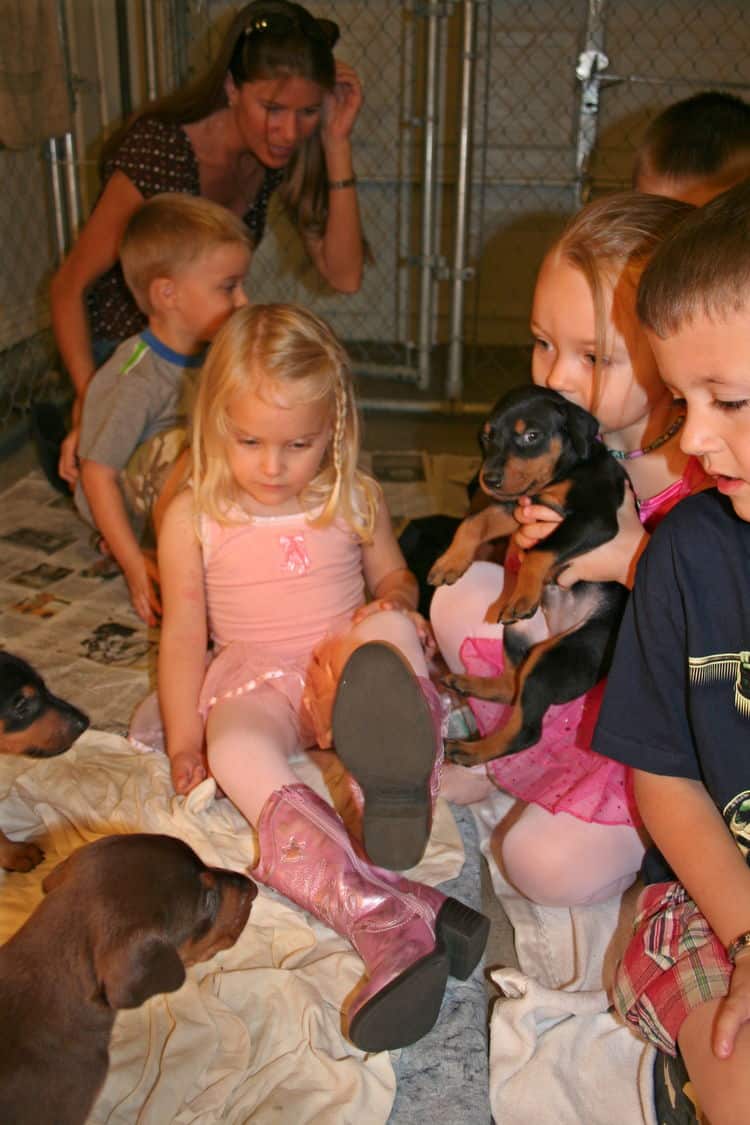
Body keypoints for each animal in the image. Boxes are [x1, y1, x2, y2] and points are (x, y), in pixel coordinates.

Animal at [425, 387, 629, 765]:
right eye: (487, 437)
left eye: (531, 436)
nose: (487, 479)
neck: (565, 472)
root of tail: (556, 628)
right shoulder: (515, 509)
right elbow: (473, 522)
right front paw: (450, 561)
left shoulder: (594, 518)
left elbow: (540, 551)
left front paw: (523, 593)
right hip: (519, 634)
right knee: (511, 687)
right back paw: (471, 684)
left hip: (561, 653)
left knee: (527, 729)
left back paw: (470, 750)